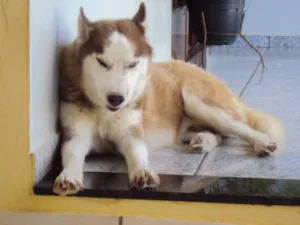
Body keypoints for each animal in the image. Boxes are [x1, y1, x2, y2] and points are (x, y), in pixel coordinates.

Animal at [52, 3, 284, 197]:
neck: (105, 112)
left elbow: (137, 151)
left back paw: (262, 142)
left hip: (194, 100)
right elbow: (72, 153)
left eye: (132, 64)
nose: (117, 99)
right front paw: (68, 176)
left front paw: (143, 171)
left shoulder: (131, 131)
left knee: (239, 127)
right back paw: (203, 140)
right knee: (219, 135)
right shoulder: (75, 133)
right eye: (102, 62)